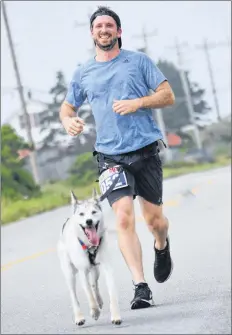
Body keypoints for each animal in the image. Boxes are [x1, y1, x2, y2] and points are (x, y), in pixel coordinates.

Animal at [57, 190, 121, 326]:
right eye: (81, 214)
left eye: (94, 212)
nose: (89, 221)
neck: (90, 246)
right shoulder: (83, 271)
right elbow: (89, 295)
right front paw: (95, 311)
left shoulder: (107, 268)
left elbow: (112, 293)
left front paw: (116, 316)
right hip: (69, 273)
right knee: (74, 294)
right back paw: (79, 316)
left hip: (96, 270)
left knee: (94, 284)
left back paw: (99, 300)